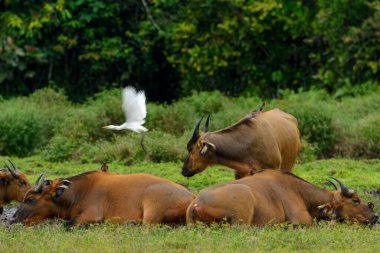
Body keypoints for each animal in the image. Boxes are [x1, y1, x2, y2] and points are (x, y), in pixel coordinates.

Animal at [13, 170, 194, 225]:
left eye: (30, 199)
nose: (14, 218)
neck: (78, 193)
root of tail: (192, 197)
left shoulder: (92, 215)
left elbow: (69, 225)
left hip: (151, 204)